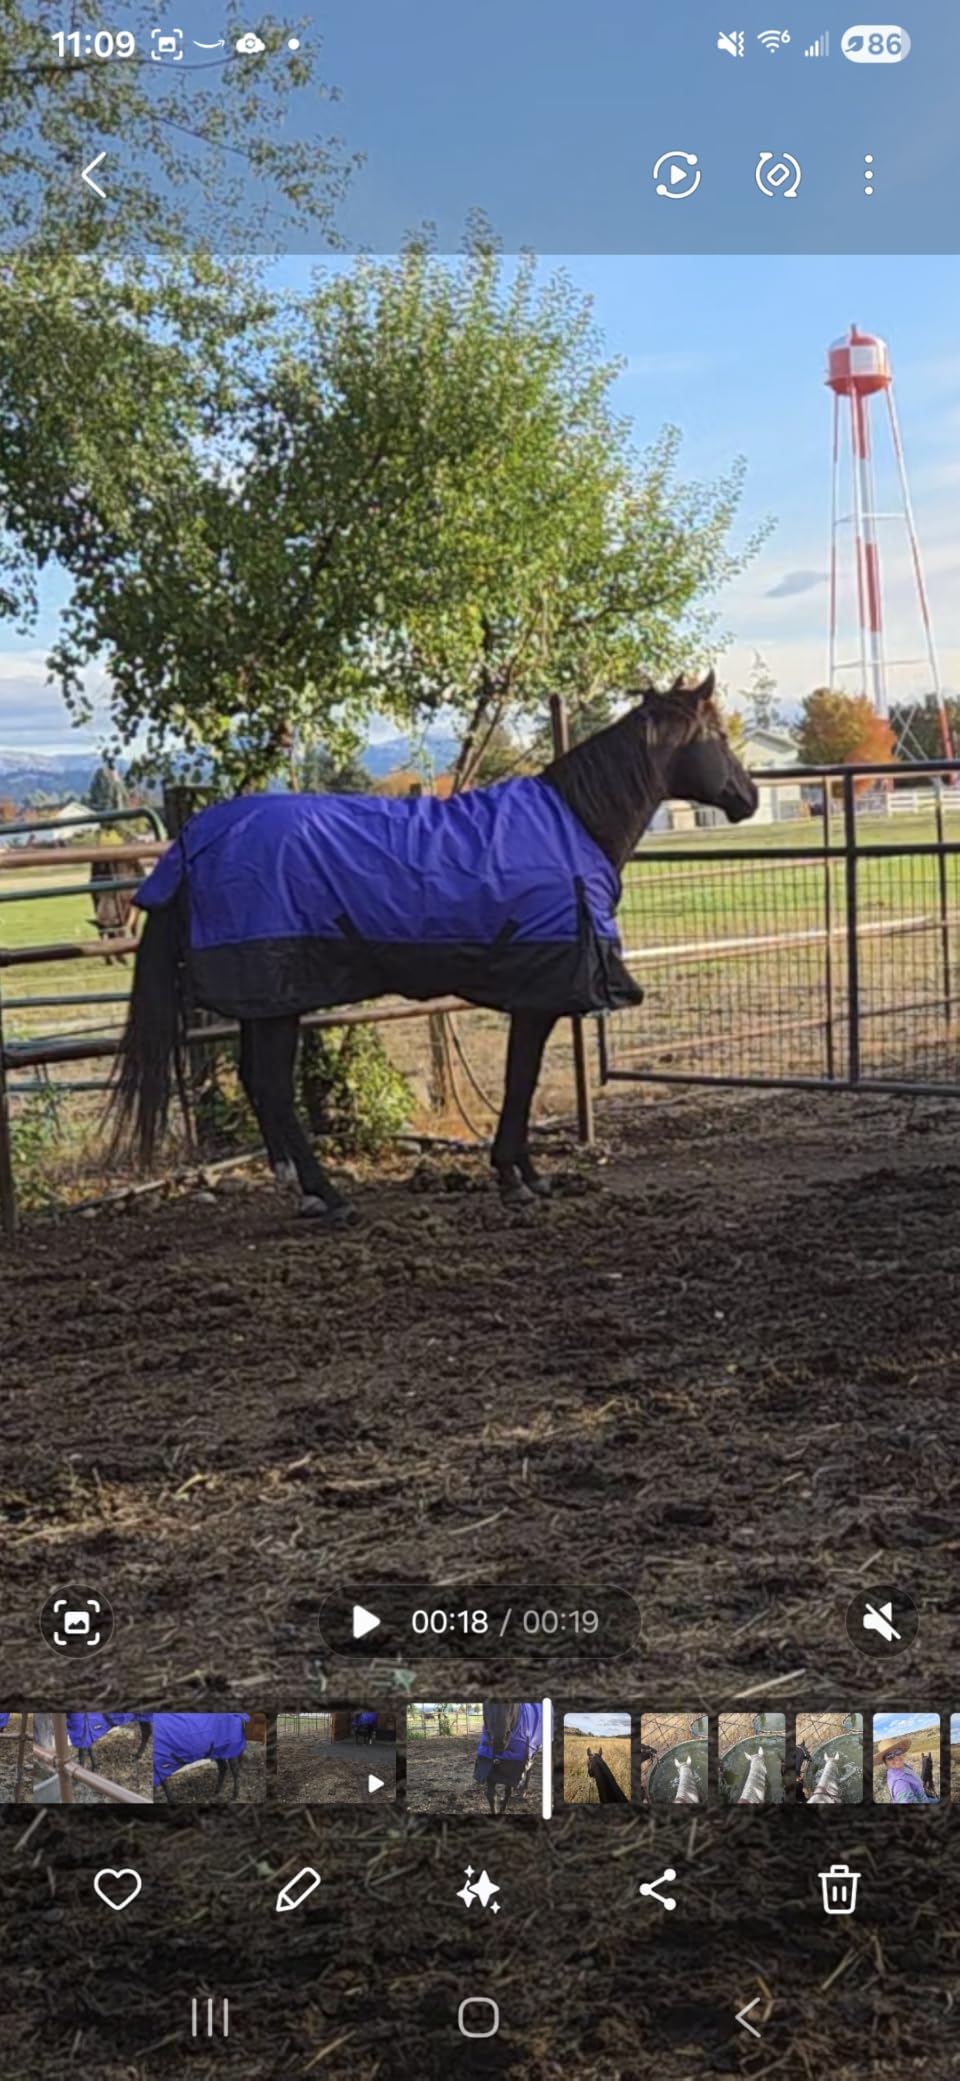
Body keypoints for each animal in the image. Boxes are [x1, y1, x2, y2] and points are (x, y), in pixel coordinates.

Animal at [112, 675, 757, 1216]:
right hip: (278, 999)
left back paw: (298, 1189)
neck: (572, 827)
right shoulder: (537, 998)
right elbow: (520, 1081)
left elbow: (521, 1082)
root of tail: (197, 841)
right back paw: (327, 1195)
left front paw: (529, 1175)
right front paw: (515, 1178)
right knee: (271, 1084)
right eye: (718, 736)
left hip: (266, 1002)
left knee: (256, 1081)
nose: (748, 797)